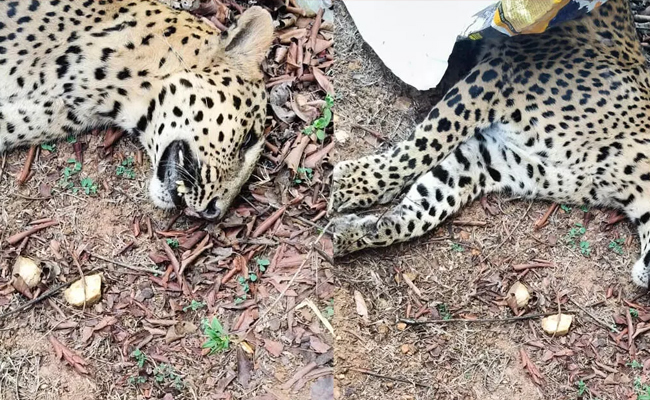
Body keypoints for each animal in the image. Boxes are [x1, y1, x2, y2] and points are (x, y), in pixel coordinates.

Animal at [330, 0, 650, 288]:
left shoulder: (494, 159)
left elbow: (430, 203)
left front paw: (362, 231)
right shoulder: (503, 74)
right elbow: (427, 143)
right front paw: (356, 184)